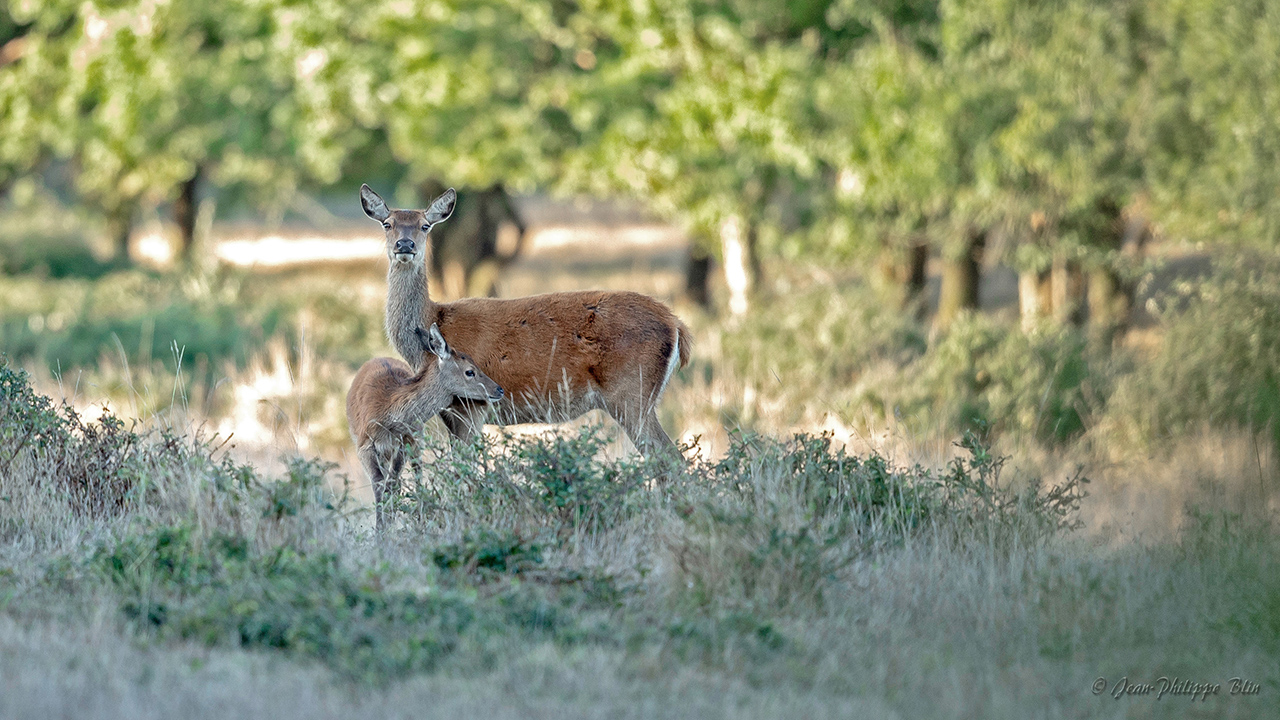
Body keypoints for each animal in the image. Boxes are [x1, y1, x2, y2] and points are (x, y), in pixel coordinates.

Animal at [345, 322, 504, 530]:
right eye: (470, 371)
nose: (499, 389)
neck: (387, 414)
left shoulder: (405, 440)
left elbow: (392, 483)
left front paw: (388, 526)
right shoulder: (363, 445)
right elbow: (379, 483)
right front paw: (380, 529)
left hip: (416, 441)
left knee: (413, 475)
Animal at [355, 181, 696, 456]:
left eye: (425, 225)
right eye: (388, 224)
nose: (405, 245)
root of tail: (677, 325)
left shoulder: (471, 407)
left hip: (630, 392)